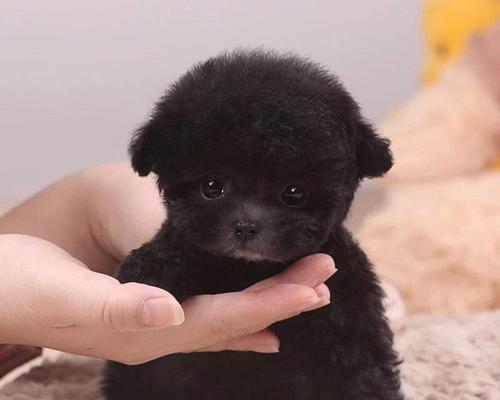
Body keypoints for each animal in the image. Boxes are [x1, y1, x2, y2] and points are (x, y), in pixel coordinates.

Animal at [102, 50, 402, 400]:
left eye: (294, 192)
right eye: (212, 186)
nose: (246, 226)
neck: (247, 270)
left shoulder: (351, 315)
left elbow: (361, 373)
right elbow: (177, 248)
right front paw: (149, 270)